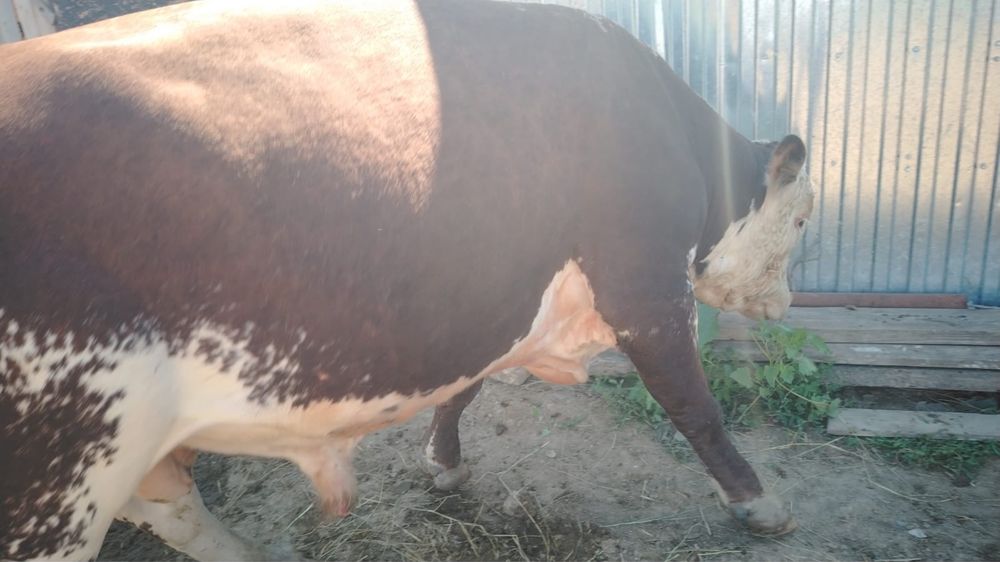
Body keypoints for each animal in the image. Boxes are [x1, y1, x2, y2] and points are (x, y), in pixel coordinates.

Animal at [0, 0, 815, 559]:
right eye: (804, 219)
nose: (787, 303)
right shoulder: (642, 279)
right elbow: (694, 404)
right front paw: (759, 505)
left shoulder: (482, 295)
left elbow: (465, 388)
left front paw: (443, 466)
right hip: (59, 478)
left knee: (176, 510)